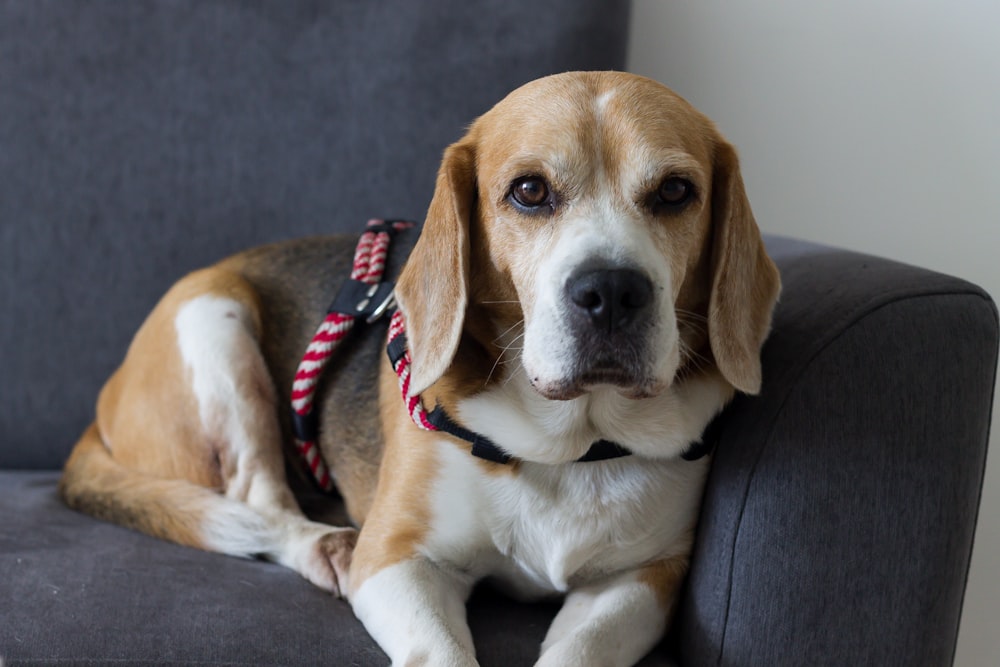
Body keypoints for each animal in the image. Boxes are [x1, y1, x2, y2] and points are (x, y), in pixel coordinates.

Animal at [60, 73, 780, 667]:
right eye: (529, 191)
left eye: (676, 191)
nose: (610, 291)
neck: (569, 444)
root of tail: (105, 402)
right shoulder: (399, 558)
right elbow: (440, 650)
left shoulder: (643, 578)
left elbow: (582, 650)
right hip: (214, 323)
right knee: (258, 497)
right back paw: (325, 546)